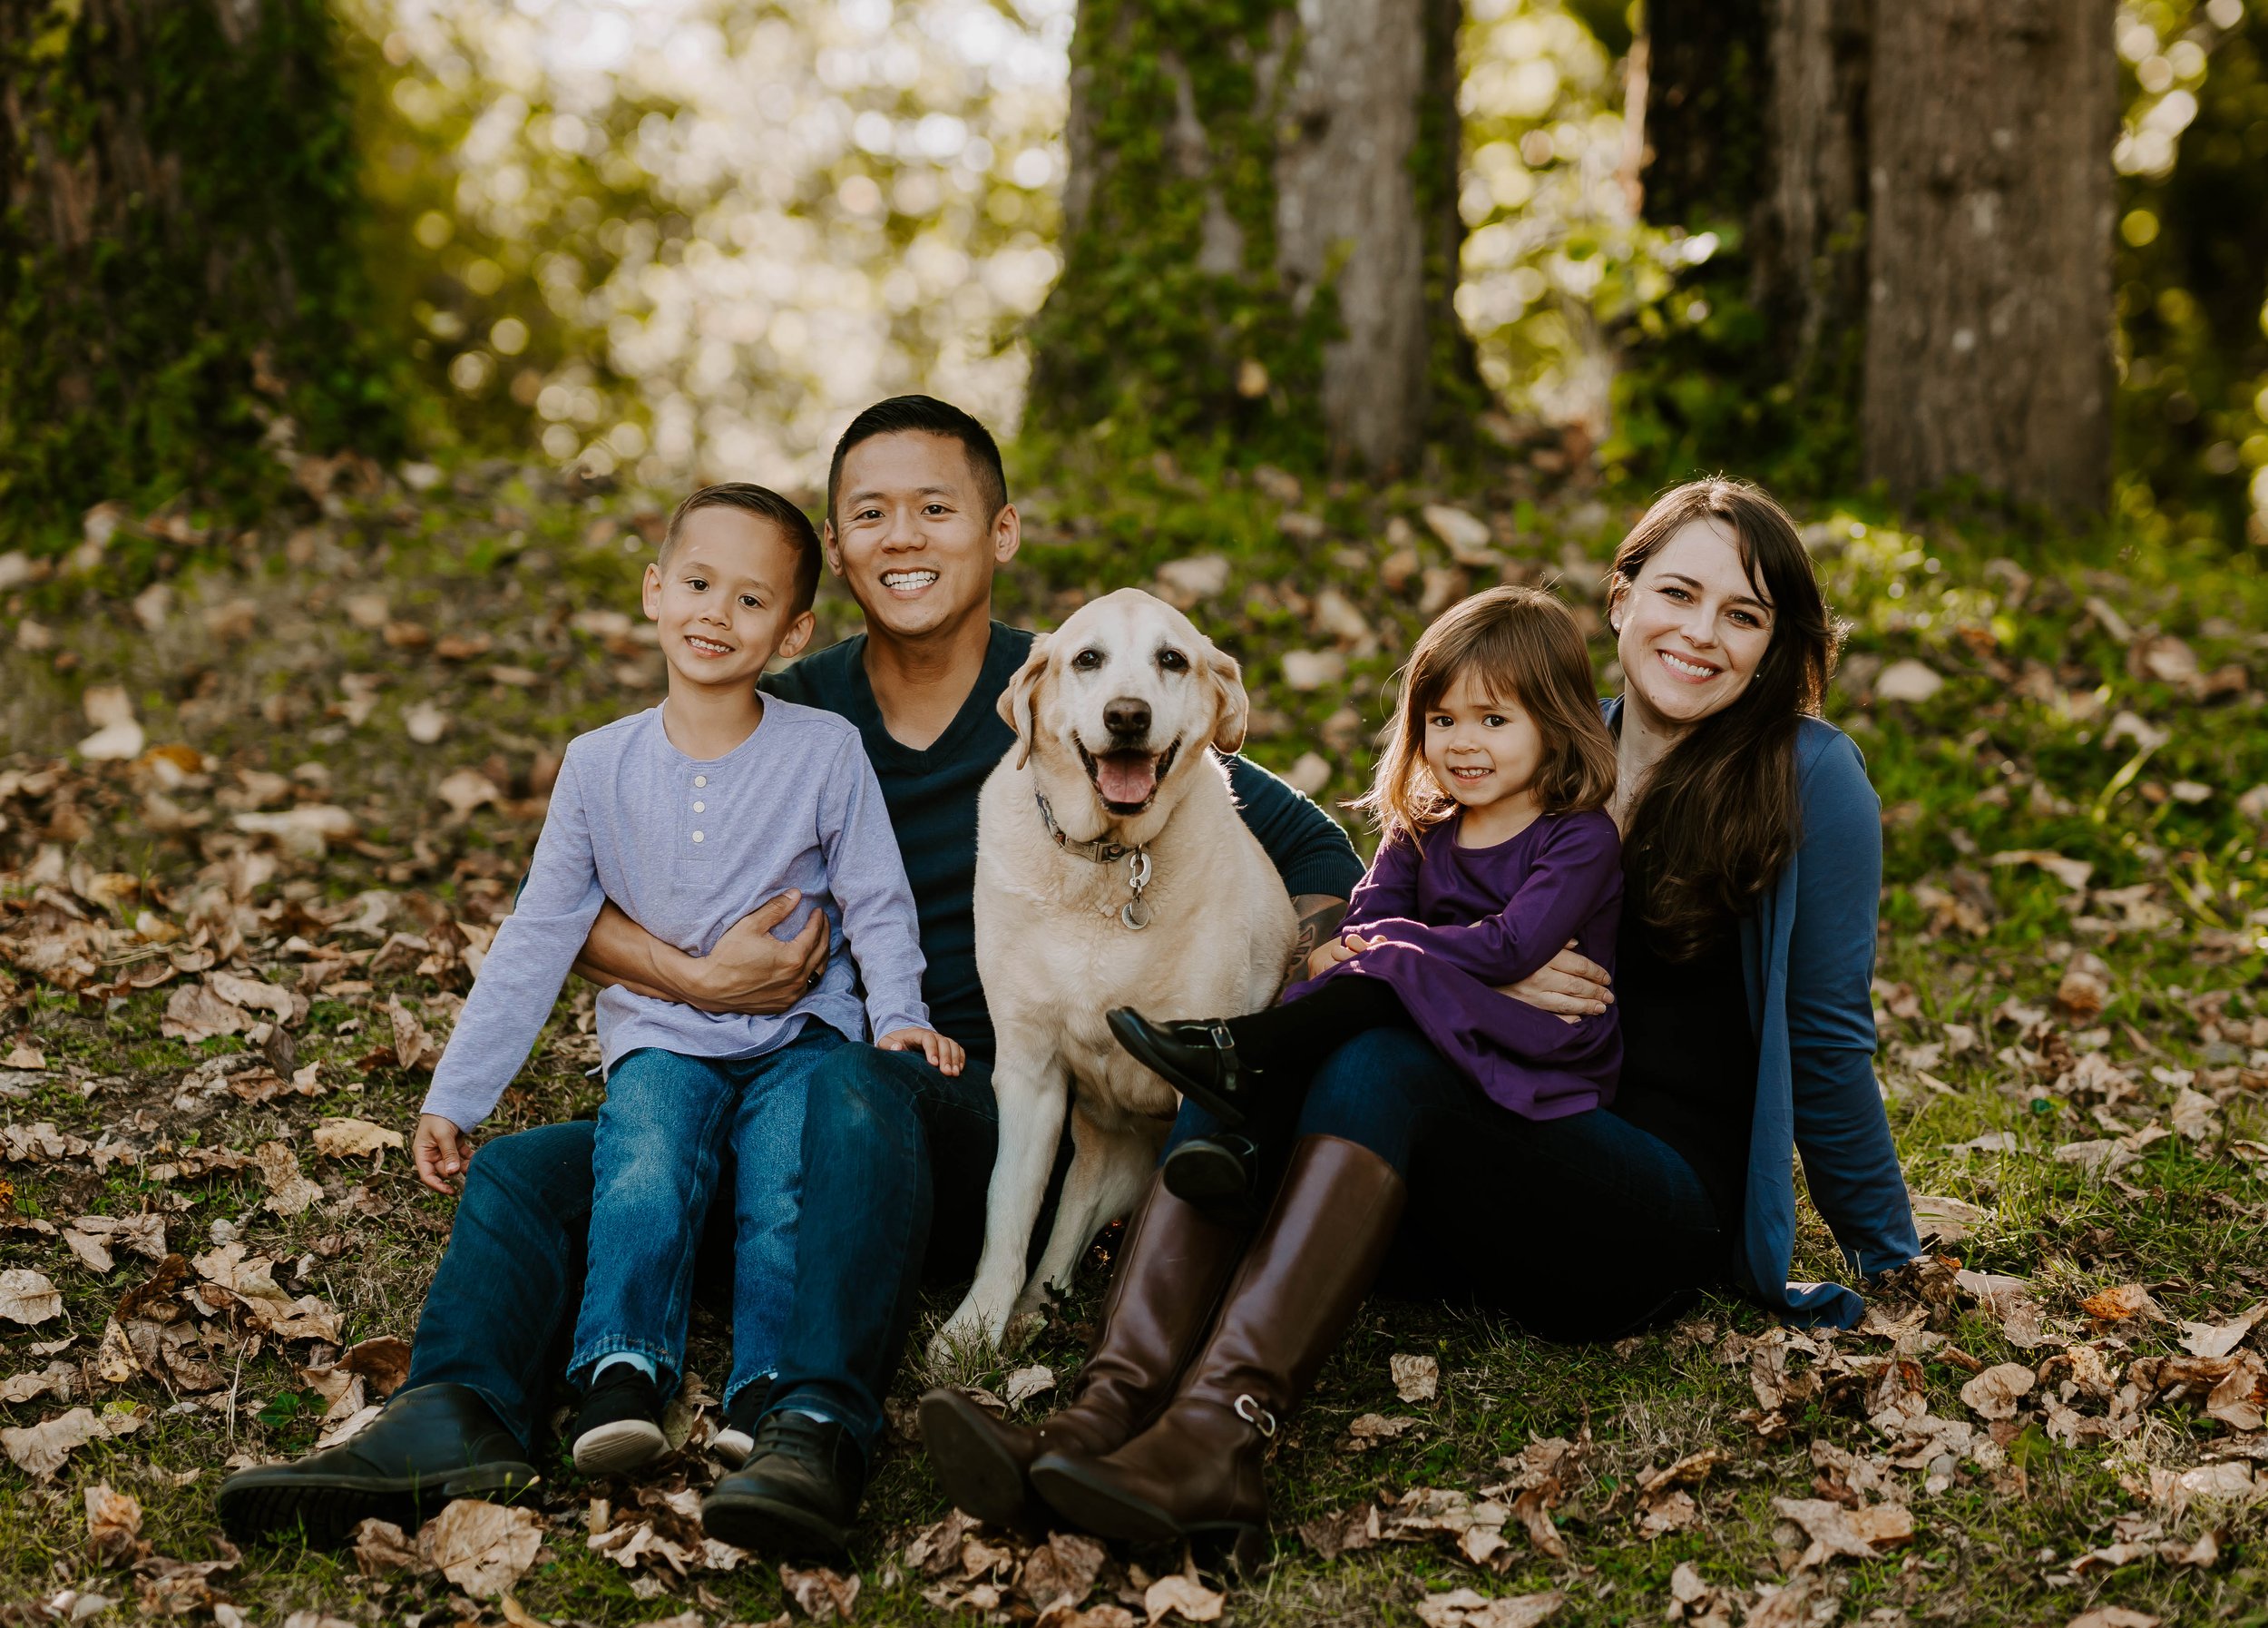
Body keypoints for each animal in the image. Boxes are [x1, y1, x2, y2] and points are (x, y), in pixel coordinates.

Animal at [934, 593, 1297, 1360]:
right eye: (1088, 659)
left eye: (1173, 660)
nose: (1127, 716)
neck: (1106, 864)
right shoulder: (1029, 1071)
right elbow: (1007, 1212)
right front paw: (973, 1330)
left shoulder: (1200, 1077)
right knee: (1063, 1236)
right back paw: (1031, 1313)